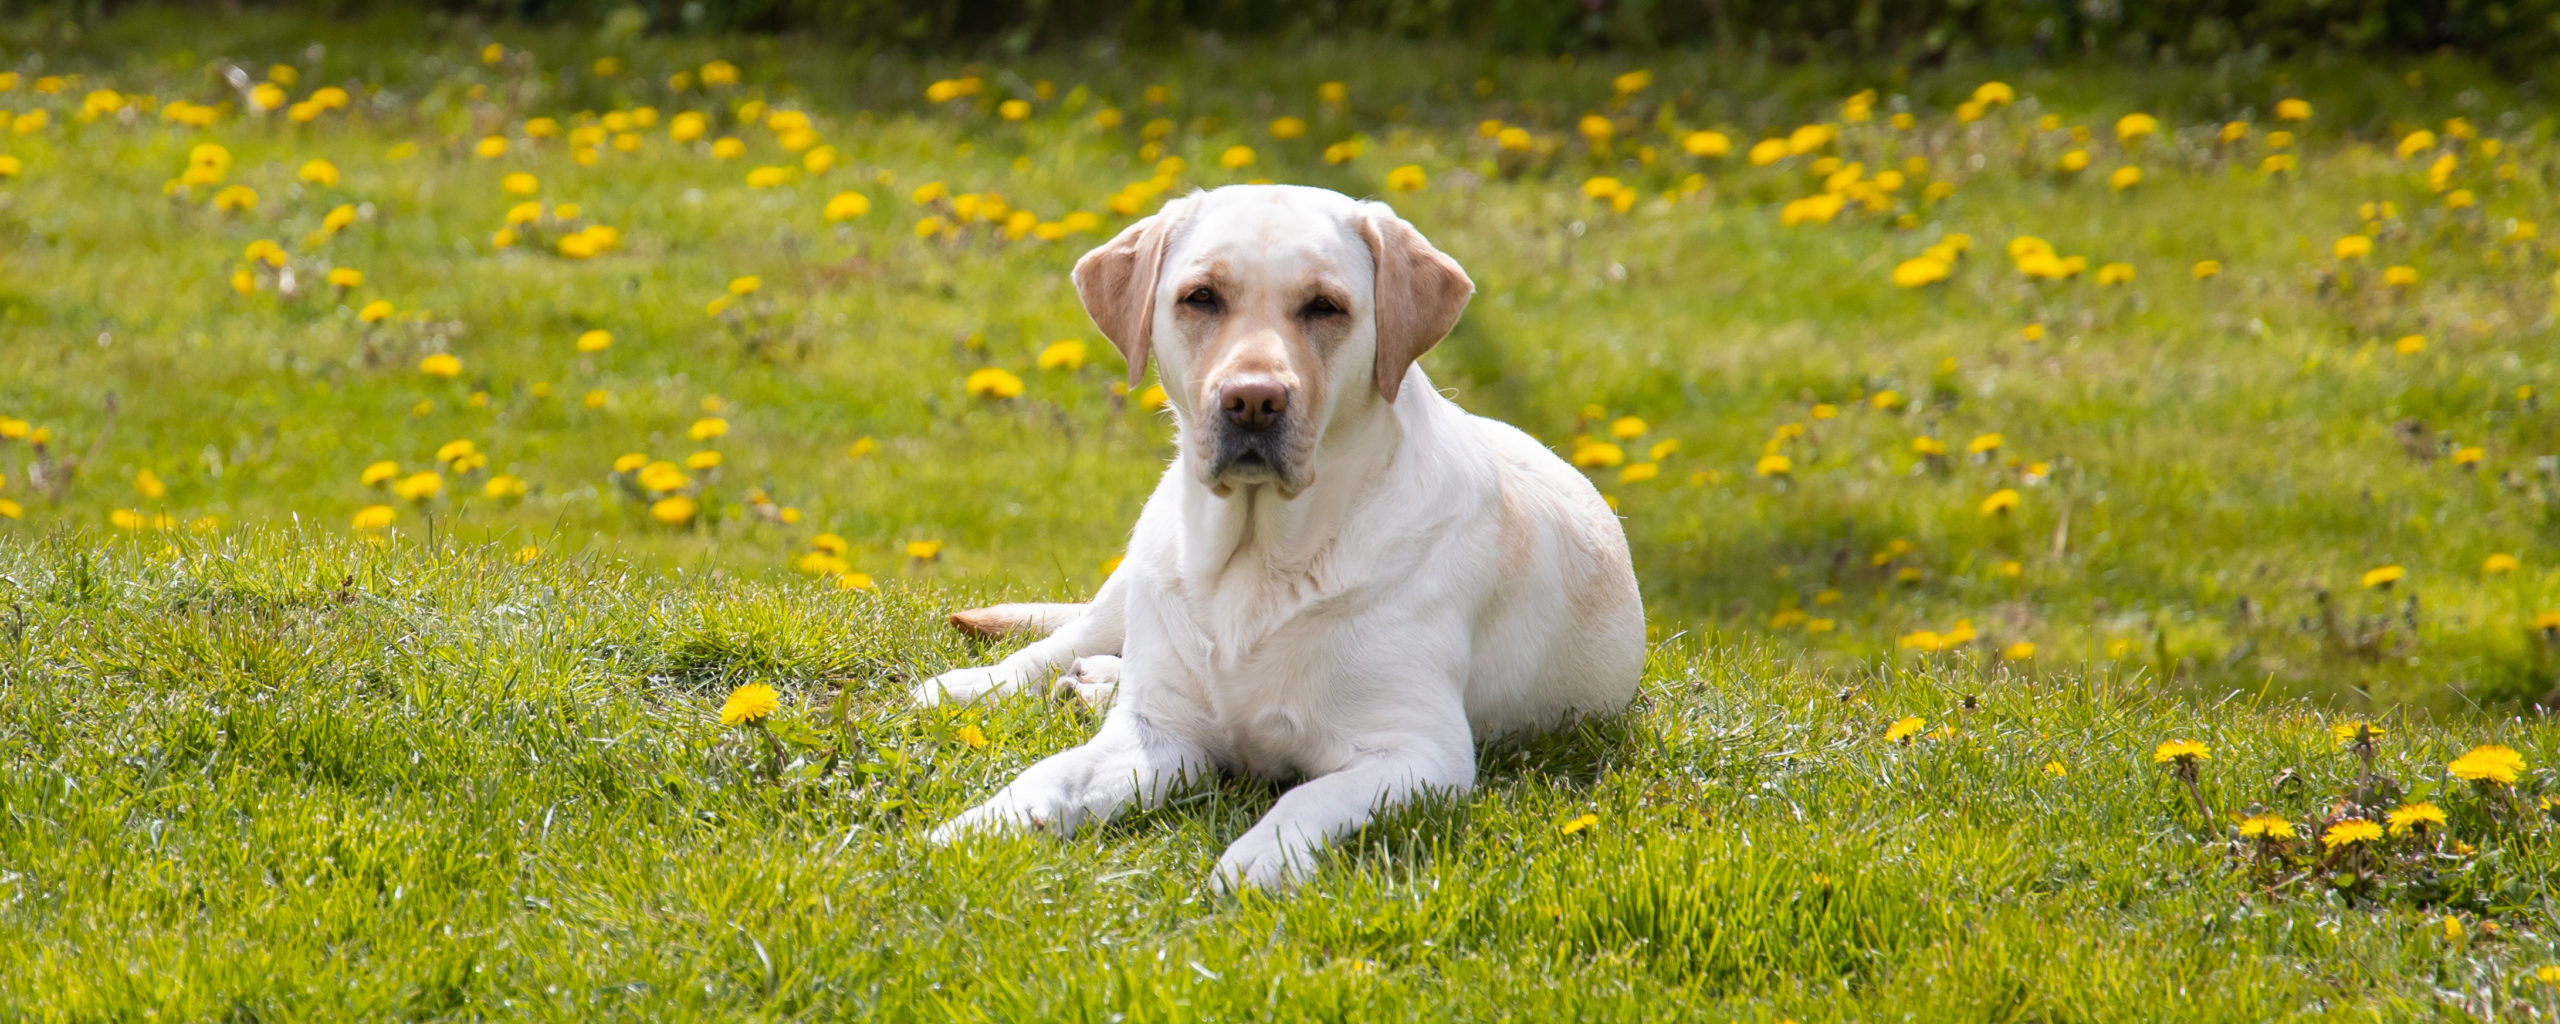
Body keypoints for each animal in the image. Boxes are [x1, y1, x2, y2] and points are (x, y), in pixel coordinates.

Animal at [921, 184, 1638, 885]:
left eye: (1325, 307)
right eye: (1201, 297)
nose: (1253, 401)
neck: (1258, 558)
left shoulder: (1418, 751)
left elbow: (1307, 798)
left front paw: (1254, 862)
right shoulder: (1157, 736)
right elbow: (1050, 775)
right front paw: (976, 826)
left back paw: (1091, 684)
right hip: (1135, 574)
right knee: (1063, 641)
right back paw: (979, 685)